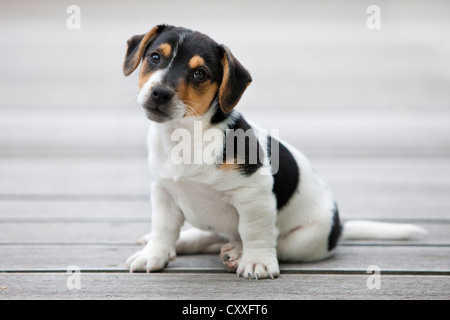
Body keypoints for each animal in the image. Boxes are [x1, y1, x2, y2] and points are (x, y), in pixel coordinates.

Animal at [122, 25, 426, 278]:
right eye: (155, 57)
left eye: (199, 73)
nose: (160, 93)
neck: (188, 135)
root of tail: (339, 228)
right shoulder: (164, 191)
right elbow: (164, 228)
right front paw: (154, 254)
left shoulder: (254, 195)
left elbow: (254, 231)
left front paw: (256, 261)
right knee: (211, 237)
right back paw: (188, 242)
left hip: (306, 239)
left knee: (274, 243)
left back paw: (238, 253)